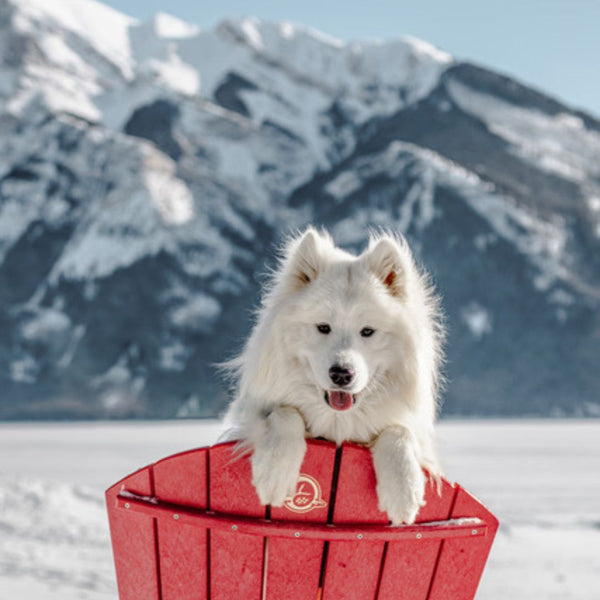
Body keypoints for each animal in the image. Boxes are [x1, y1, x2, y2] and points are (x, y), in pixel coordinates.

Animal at [223, 227, 442, 524]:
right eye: (323, 327)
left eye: (367, 331)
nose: (341, 374)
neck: (338, 422)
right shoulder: (254, 416)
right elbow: (285, 412)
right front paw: (274, 474)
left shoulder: (407, 428)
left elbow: (399, 431)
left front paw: (404, 492)